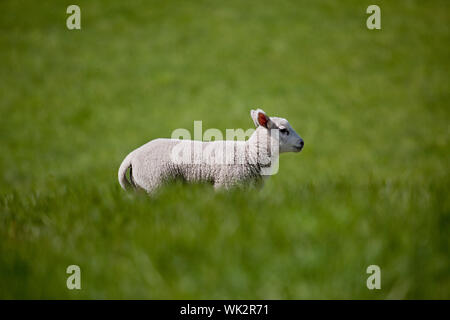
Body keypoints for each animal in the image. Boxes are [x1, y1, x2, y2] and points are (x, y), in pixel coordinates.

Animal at [118, 109, 304, 194]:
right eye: (283, 130)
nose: (302, 143)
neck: (250, 153)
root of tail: (133, 155)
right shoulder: (226, 185)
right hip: (157, 183)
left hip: (142, 188)